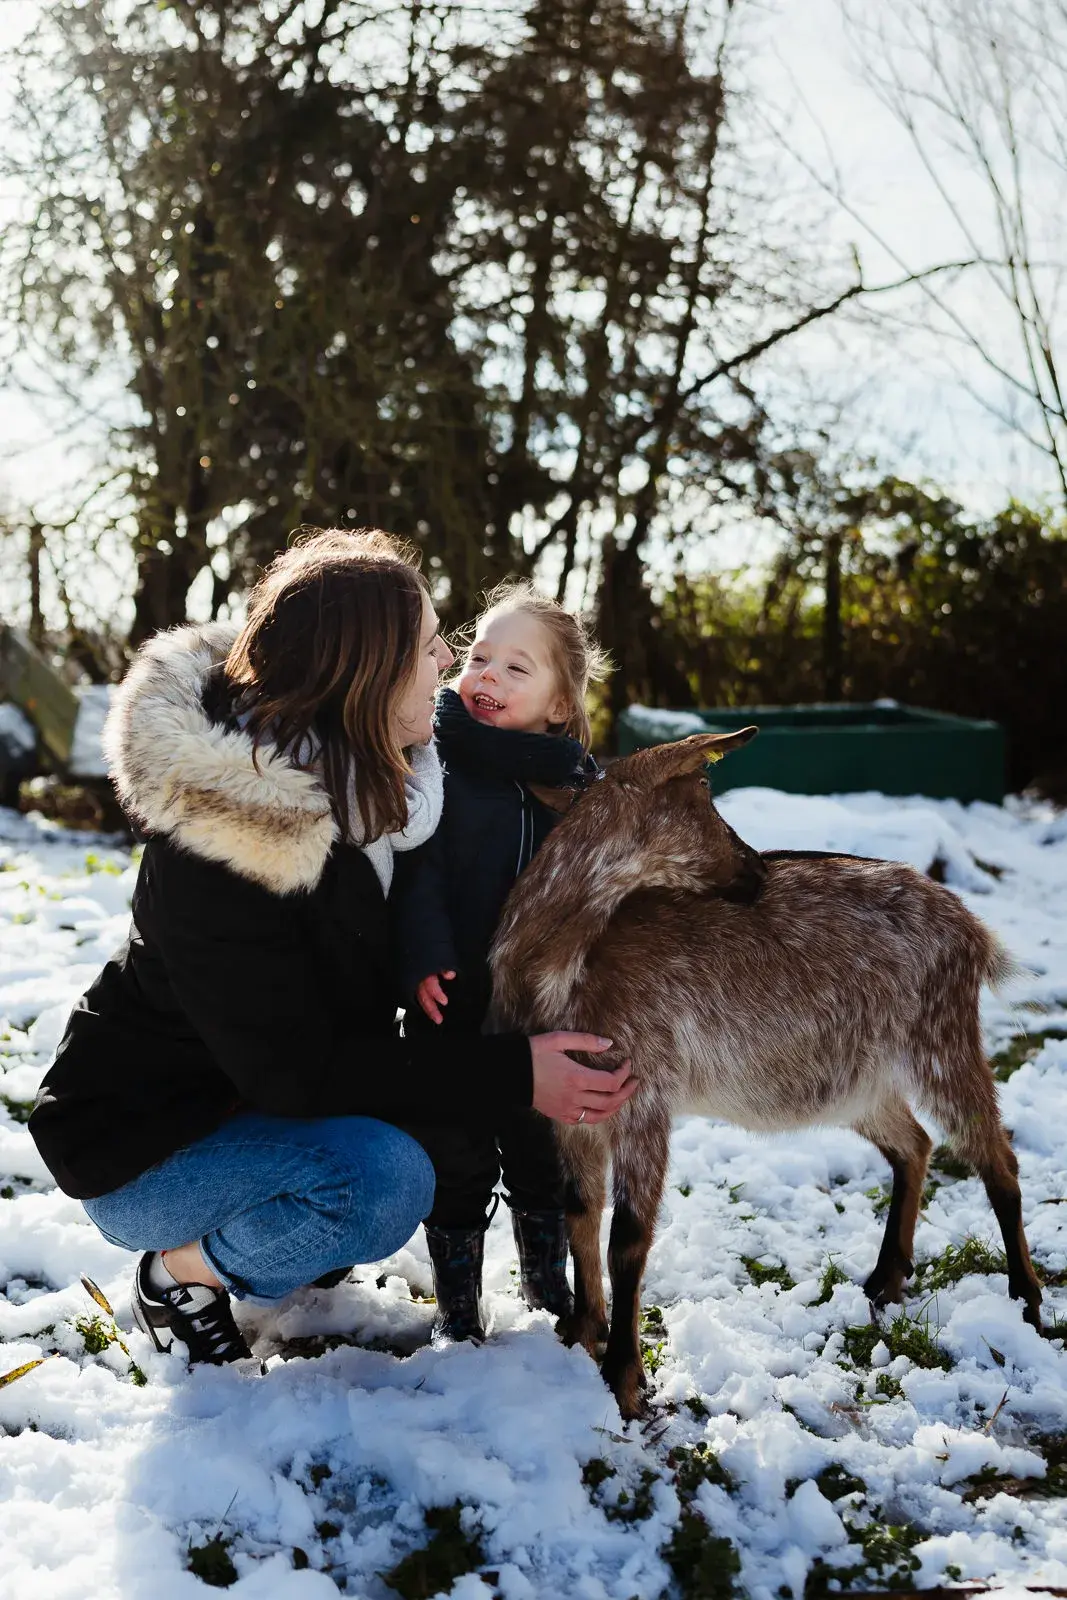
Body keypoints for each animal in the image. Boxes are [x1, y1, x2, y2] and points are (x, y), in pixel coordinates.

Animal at [490, 730, 1043, 1420]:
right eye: (704, 790)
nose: (755, 864)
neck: (567, 972)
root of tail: (974, 929)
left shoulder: (646, 1092)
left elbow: (628, 1237)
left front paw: (625, 1380)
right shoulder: (573, 1108)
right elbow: (580, 1211)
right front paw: (582, 1332)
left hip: (940, 1039)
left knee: (996, 1154)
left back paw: (1027, 1300)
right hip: (857, 1080)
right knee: (915, 1143)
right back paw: (884, 1281)